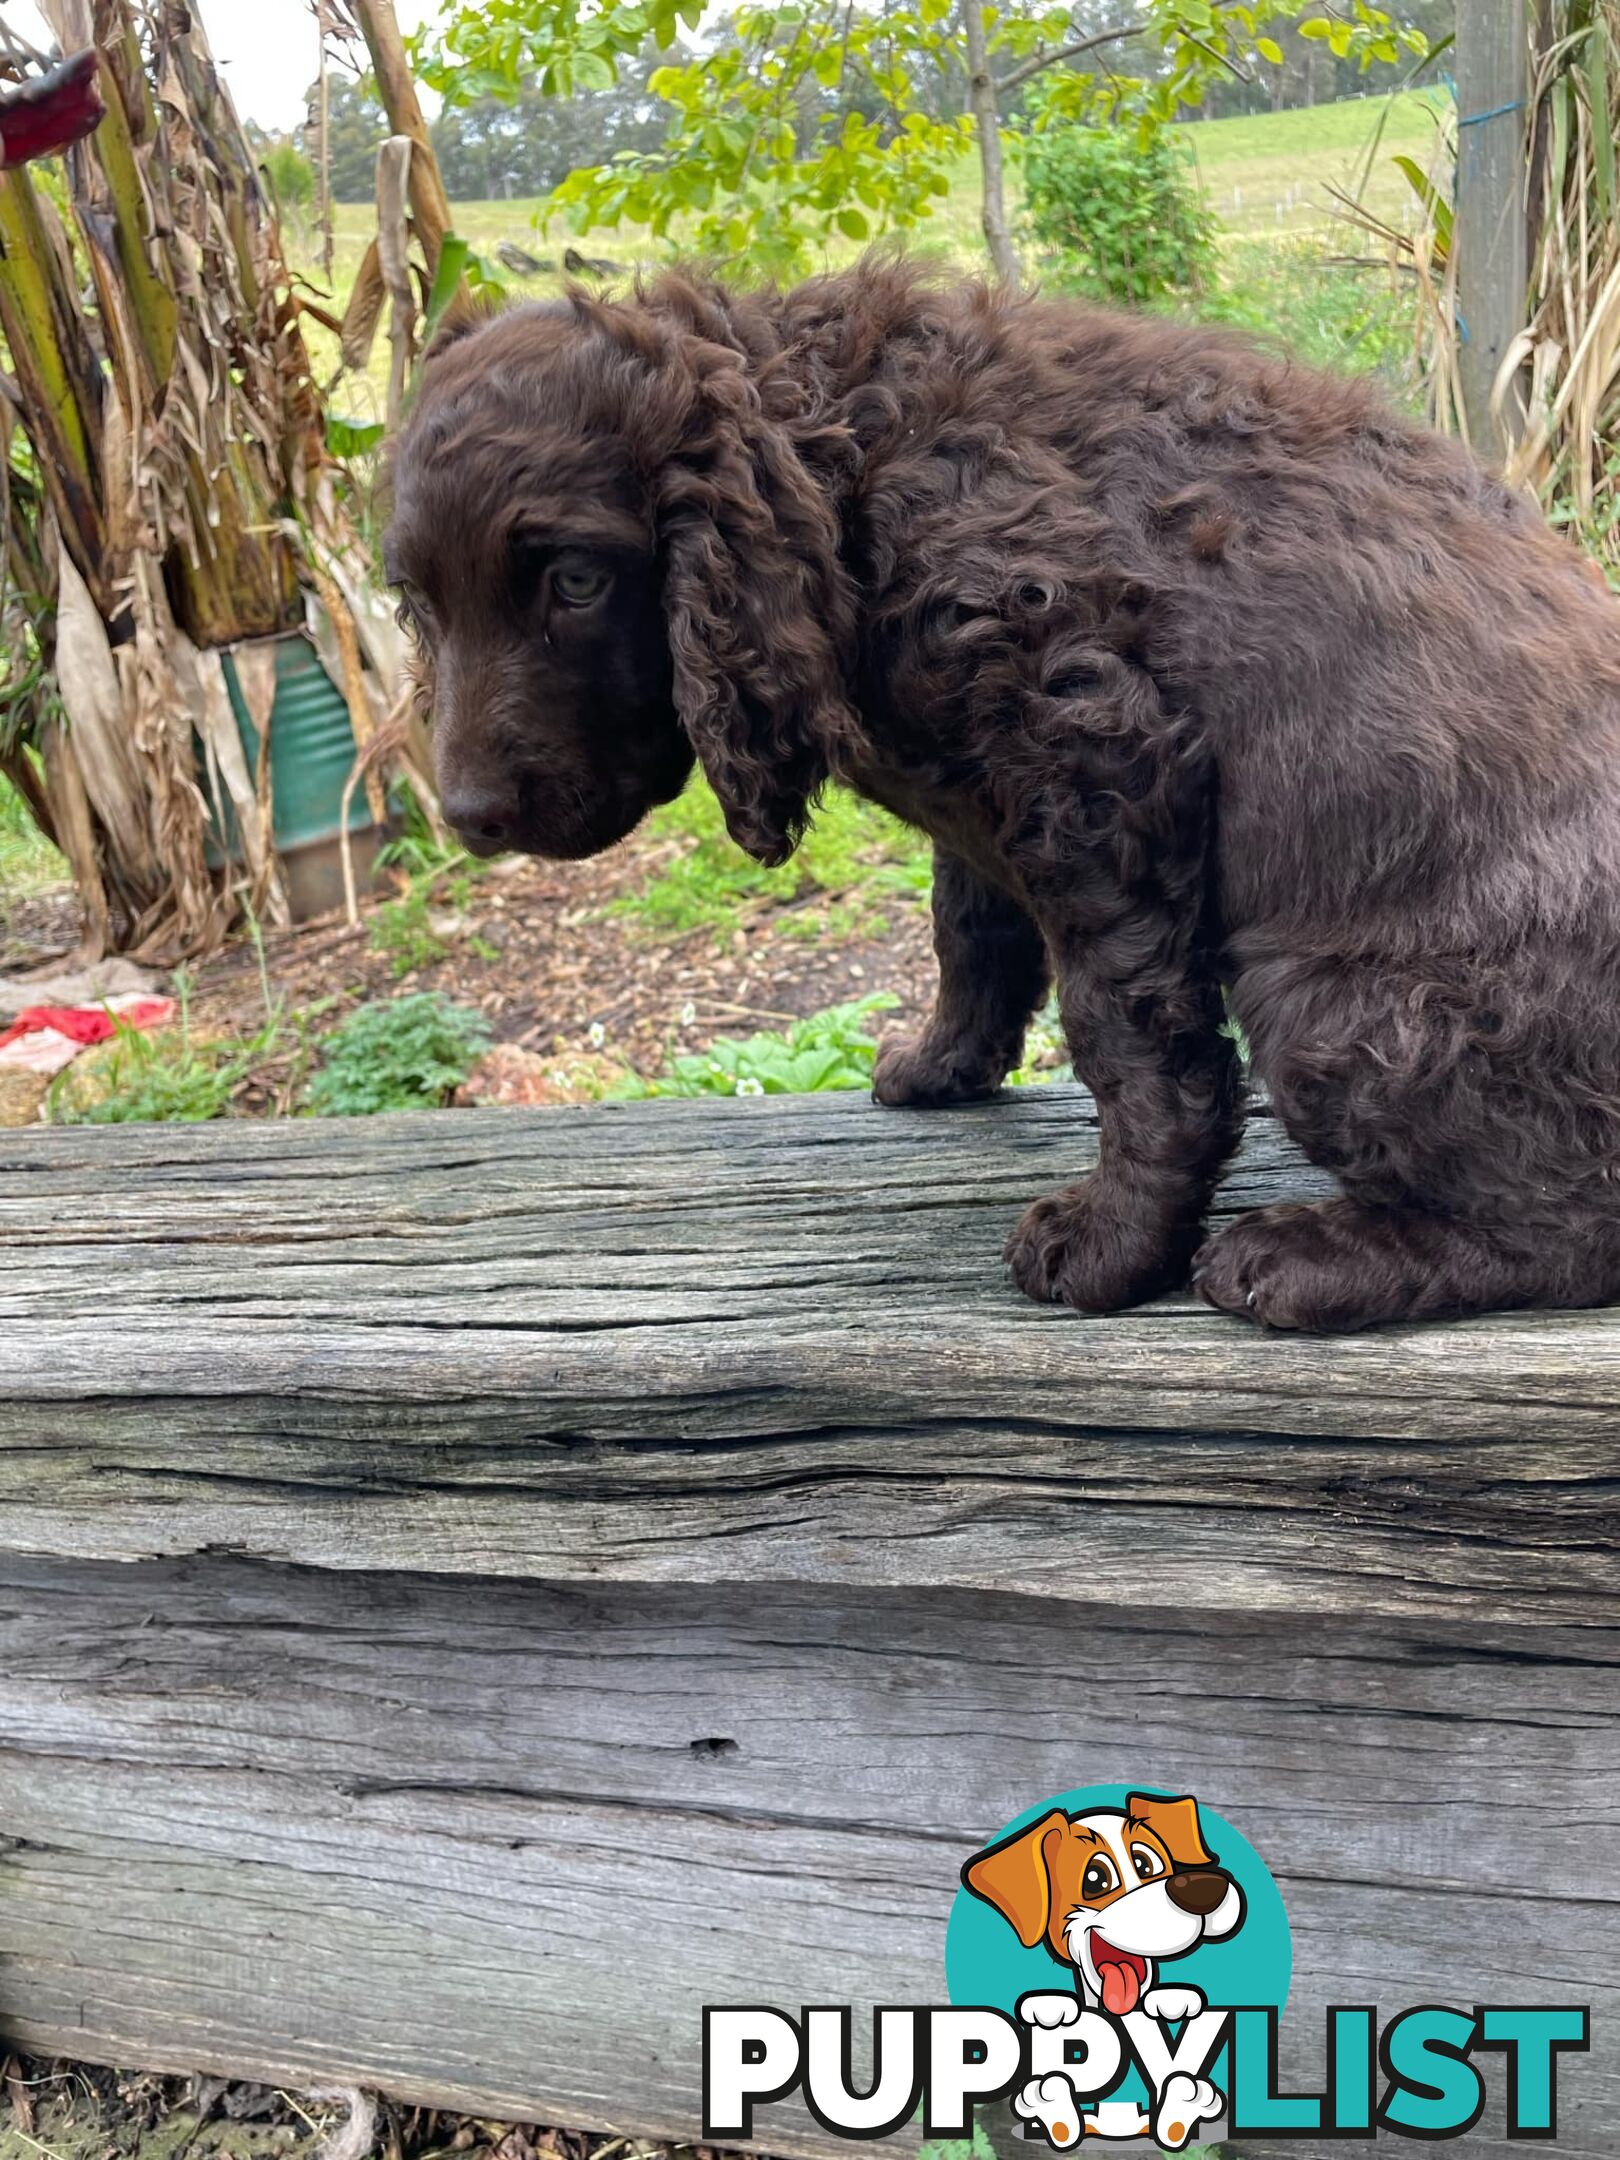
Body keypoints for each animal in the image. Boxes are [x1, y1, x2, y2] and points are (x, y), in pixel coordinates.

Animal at [384, 259, 1620, 1321]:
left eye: (576, 582)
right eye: (416, 603)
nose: (469, 817)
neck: (846, 469)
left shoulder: (1091, 755)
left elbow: (1127, 1038)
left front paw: (1115, 1247)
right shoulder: (987, 794)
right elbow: (967, 930)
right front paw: (943, 1066)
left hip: (1333, 1005)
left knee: (1572, 1225)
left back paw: (1312, 1259)